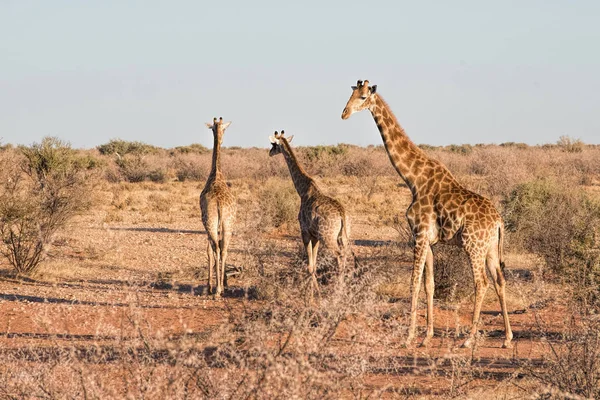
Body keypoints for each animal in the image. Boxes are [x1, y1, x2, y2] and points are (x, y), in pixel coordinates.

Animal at [268, 131, 350, 294]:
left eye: (273, 144)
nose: (269, 153)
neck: (303, 190)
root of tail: (341, 215)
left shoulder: (304, 231)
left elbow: (310, 266)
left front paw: (312, 293)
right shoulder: (315, 235)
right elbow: (314, 264)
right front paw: (314, 290)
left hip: (328, 236)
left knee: (339, 255)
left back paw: (337, 290)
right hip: (342, 237)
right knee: (345, 255)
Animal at [342, 79, 510, 348]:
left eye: (363, 97)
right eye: (351, 94)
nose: (344, 113)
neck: (413, 179)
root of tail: (499, 221)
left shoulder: (419, 236)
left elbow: (413, 284)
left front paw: (409, 336)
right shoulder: (428, 241)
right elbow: (429, 285)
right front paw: (427, 335)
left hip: (472, 245)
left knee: (481, 283)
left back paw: (468, 339)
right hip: (491, 247)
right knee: (499, 280)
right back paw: (507, 338)